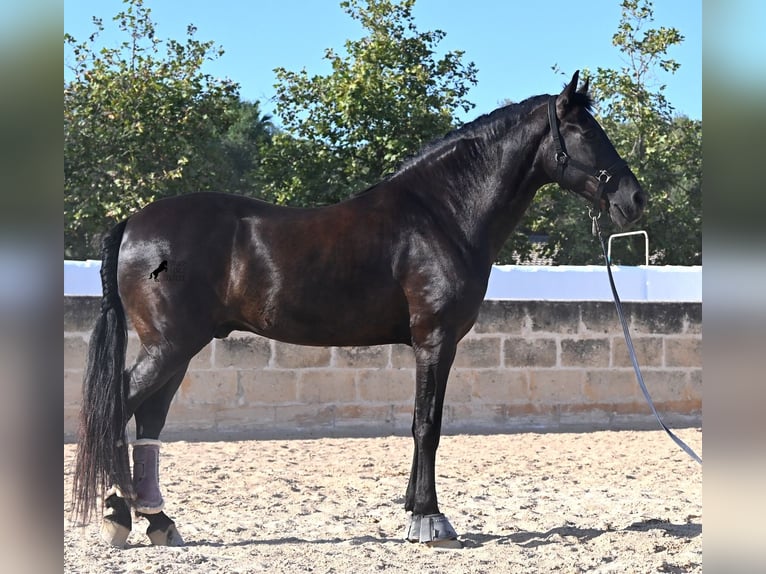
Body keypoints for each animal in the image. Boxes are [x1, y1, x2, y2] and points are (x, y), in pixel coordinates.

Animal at [71, 71, 646, 548]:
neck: (442, 214)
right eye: (586, 131)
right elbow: (427, 423)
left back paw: (157, 521)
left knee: (147, 418)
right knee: (118, 406)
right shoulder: (435, 339)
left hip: (176, 348)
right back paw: (119, 517)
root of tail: (133, 223)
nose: (634, 200)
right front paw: (430, 519)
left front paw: (414, 510)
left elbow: (420, 422)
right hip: (170, 345)